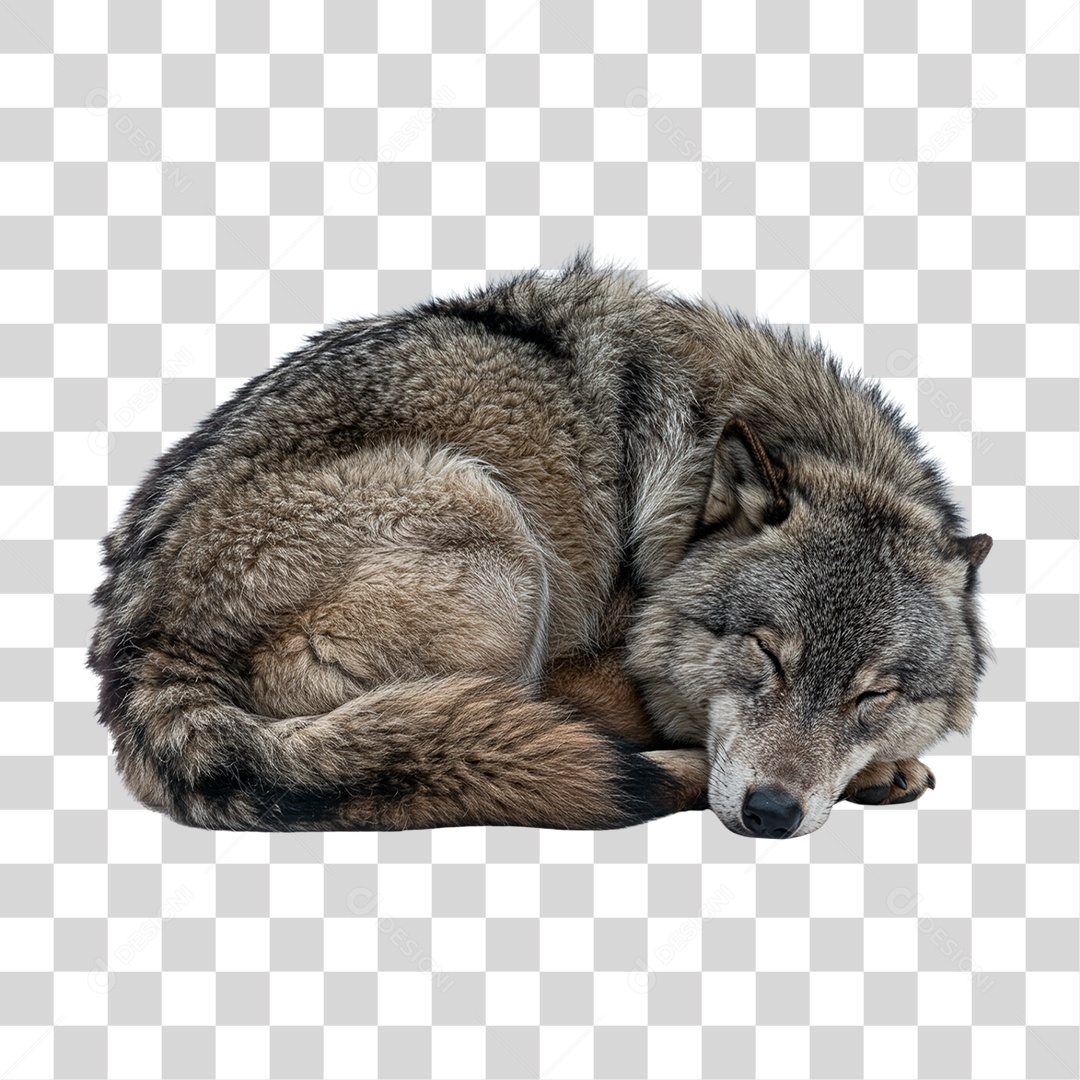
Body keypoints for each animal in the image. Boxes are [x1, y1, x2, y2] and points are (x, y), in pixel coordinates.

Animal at [87, 254, 992, 839]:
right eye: (766, 656)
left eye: (871, 694)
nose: (771, 815)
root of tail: (142, 651)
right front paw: (871, 774)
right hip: (498, 538)